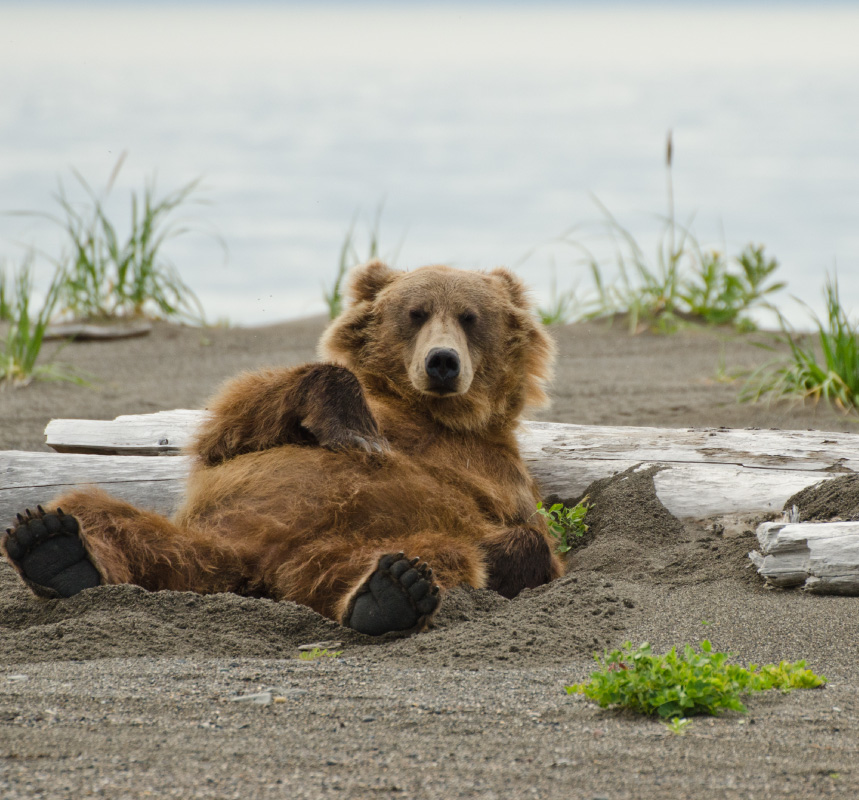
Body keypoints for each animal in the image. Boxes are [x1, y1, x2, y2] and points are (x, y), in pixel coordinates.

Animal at [5, 262, 564, 636]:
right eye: (416, 313)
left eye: (470, 317)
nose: (442, 362)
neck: (430, 414)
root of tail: (255, 569)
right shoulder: (253, 435)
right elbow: (231, 429)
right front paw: (355, 430)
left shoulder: (496, 472)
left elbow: (530, 541)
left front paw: (504, 548)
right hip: (202, 535)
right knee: (95, 511)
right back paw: (54, 549)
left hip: (349, 546)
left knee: (433, 556)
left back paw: (391, 594)